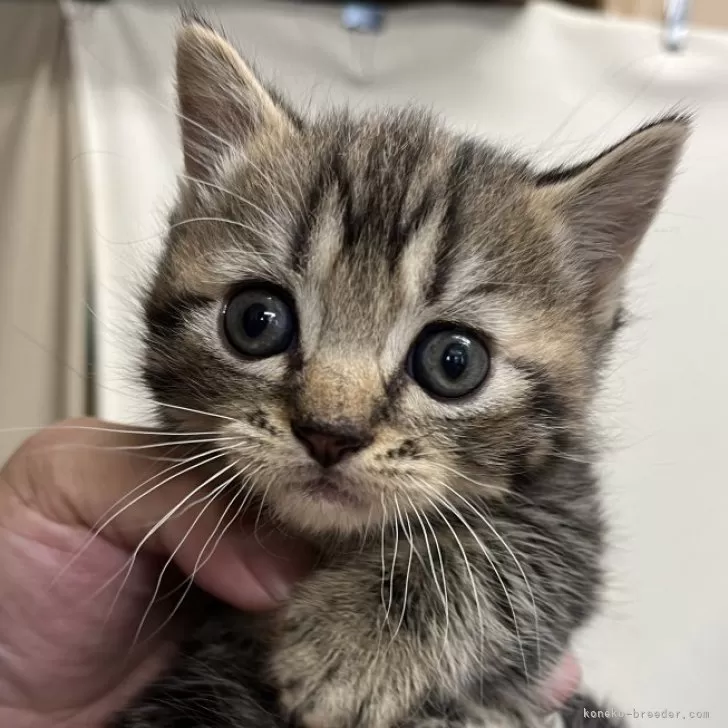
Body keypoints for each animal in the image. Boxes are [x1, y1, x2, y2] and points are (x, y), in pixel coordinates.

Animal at [114, 15, 688, 728]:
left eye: (454, 362)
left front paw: (355, 640)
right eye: (256, 320)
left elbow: (514, 555)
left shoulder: (571, 509)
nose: (329, 433)